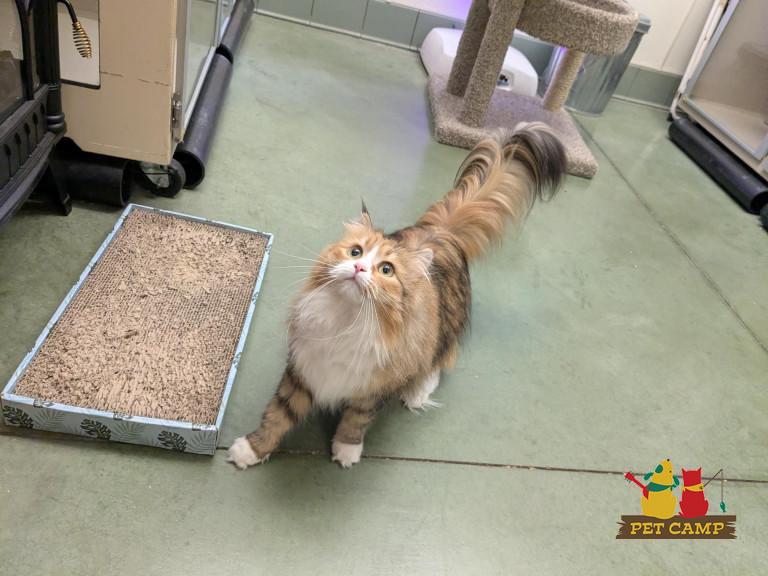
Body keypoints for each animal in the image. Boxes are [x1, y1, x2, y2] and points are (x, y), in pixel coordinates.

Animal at [228, 122, 566, 469]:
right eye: (355, 252)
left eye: (386, 270)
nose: (359, 267)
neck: (347, 321)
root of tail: (440, 231)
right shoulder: (303, 370)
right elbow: (277, 414)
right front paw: (251, 449)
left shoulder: (374, 389)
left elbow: (356, 420)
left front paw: (346, 450)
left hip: (443, 329)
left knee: (440, 361)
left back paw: (417, 393)